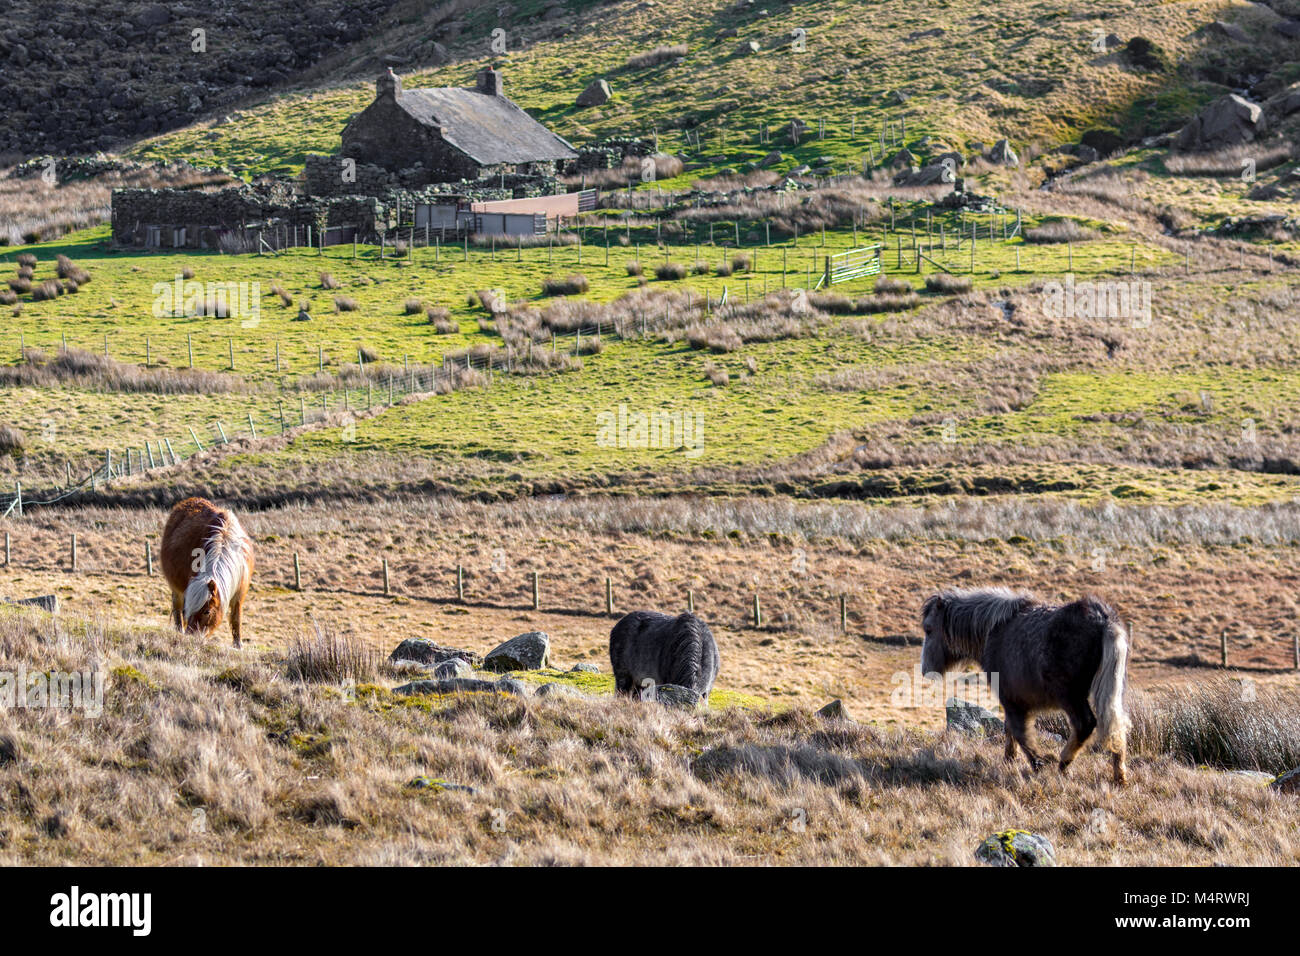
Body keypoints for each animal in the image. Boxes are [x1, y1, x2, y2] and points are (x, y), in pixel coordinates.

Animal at [161, 496, 254, 647]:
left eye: (207, 611)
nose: (191, 637)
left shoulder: (240, 592)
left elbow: (236, 618)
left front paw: (238, 644)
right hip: (176, 588)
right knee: (177, 607)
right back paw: (179, 629)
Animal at [925, 590, 1128, 785]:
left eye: (928, 629)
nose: (926, 670)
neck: (993, 631)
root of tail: (1104, 622)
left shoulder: (1011, 700)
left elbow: (1019, 731)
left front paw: (1037, 763)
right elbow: (1010, 729)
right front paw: (1010, 759)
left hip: (1070, 696)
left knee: (1084, 724)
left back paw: (1063, 763)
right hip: (1109, 692)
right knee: (1116, 726)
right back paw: (1119, 776)